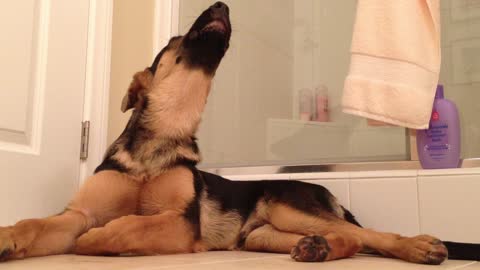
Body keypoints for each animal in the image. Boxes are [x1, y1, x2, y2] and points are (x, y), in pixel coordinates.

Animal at [0, 1, 480, 264]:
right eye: (175, 39)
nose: (222, 5)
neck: (163, 135)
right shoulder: (75, 213)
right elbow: (33, 222)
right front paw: (8, 236)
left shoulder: (179, 223)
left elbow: (126, 227)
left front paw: (97, 239)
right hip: (262, 233)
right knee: (348, 238)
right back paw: (318, 249)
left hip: (292, 208)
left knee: (372, 236)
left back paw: (419, 246)